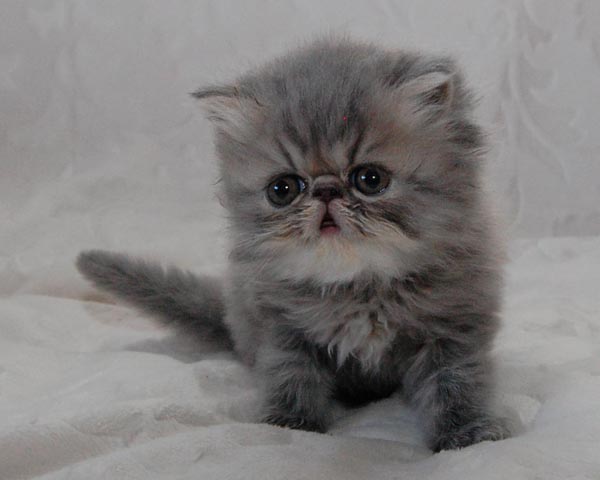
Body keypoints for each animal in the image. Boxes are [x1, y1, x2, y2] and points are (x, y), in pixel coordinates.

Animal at [77, 37, 509, 451]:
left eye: (370, 180)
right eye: (282, 189)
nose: (326, 192)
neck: (358, 286)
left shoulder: (454, 329)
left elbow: (456, 385)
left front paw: (468, 434)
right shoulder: (281, 328)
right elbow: (291, 377)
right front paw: (290, 425)